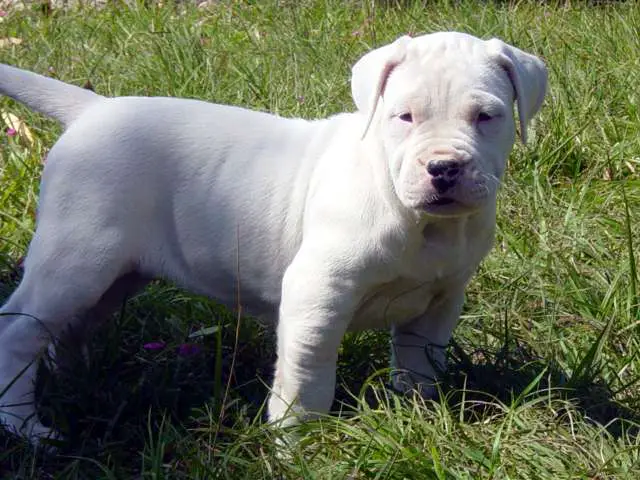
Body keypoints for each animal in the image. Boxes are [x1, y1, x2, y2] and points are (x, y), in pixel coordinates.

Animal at [0, 31, 544, 440]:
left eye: (486, 117)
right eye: (404, 117)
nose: (444, 168)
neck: (421, 223)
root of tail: (94, 110)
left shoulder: (438, 302)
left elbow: (418, 369)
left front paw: (416, 419)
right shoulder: (317, 295)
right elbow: (307, 377)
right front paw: (298, 444)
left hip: (116, 275)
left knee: (67, 330)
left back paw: (77, 384)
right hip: (75, 262)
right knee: (19, 333)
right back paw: (26, 427)